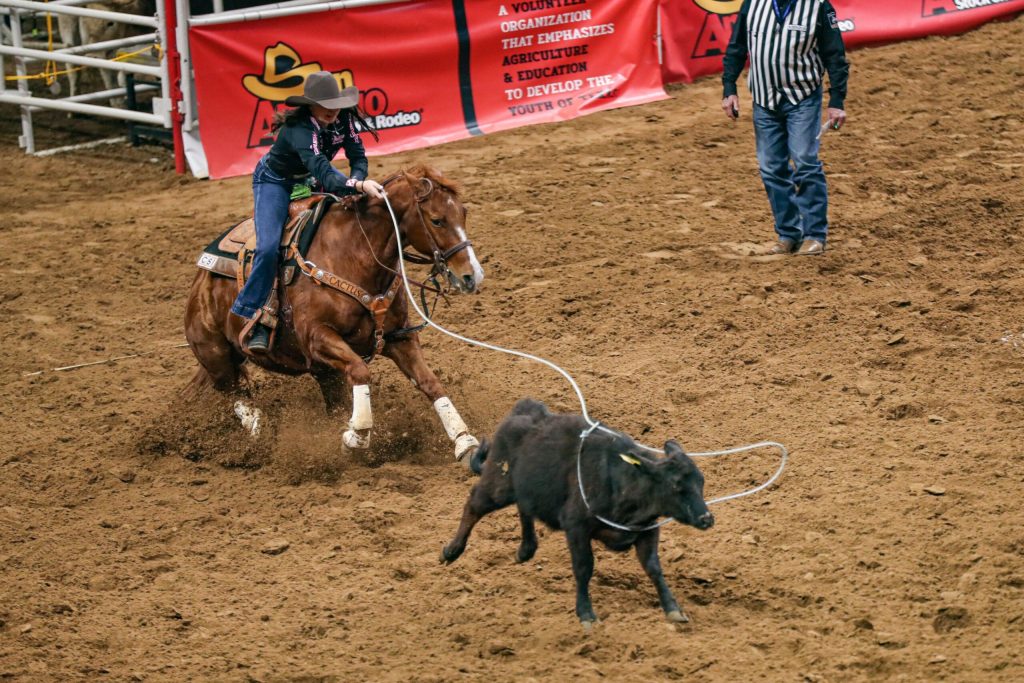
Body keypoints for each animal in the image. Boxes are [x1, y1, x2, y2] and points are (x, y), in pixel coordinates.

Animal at [182, 165, 485, 464]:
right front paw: (356, 436)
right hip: (216, 354)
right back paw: (258, 426)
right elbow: (361, 371)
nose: (472, 276)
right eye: (437, 220)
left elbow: (430, 382)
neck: (353, 255)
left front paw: (464, 441)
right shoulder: (317, 337)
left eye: (463, 213)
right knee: (234, 393)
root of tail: (199, 281)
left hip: (322, 372)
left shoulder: (399, 338)